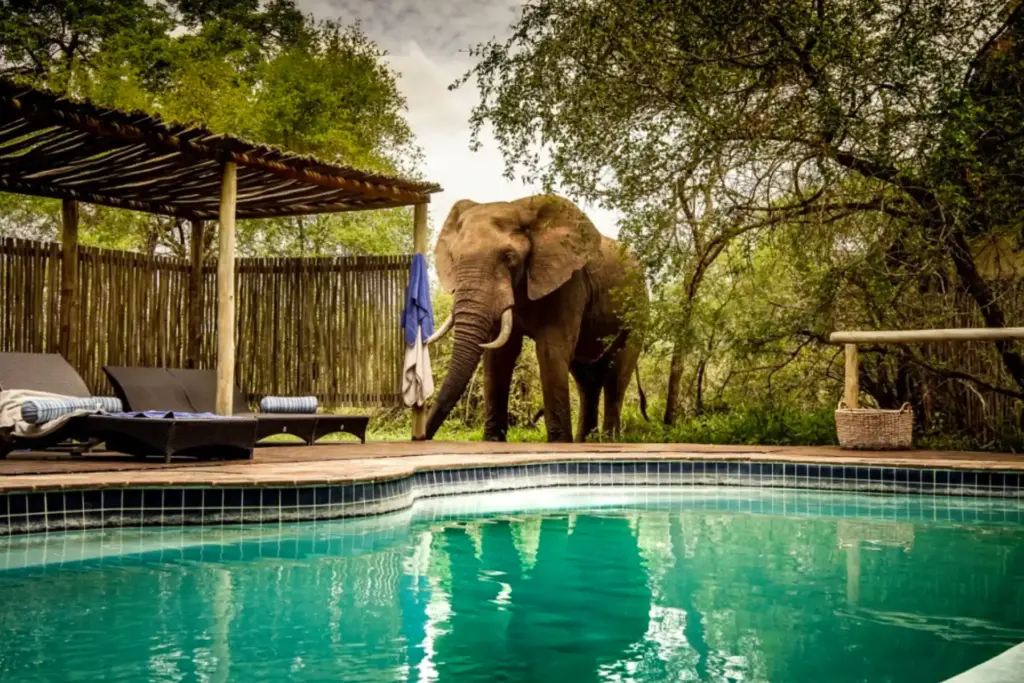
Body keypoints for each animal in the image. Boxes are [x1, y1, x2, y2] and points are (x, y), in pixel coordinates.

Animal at [424, 194, 647, 443]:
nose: (421, 437)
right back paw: (585, 442)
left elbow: (550, 349)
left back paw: (608, 441)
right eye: (453, 258)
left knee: (616, 376)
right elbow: (498, 355)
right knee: (586, 379)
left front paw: (559, 444)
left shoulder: (569, 281)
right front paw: (492, 442)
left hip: (637, 311)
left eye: (509, 257)